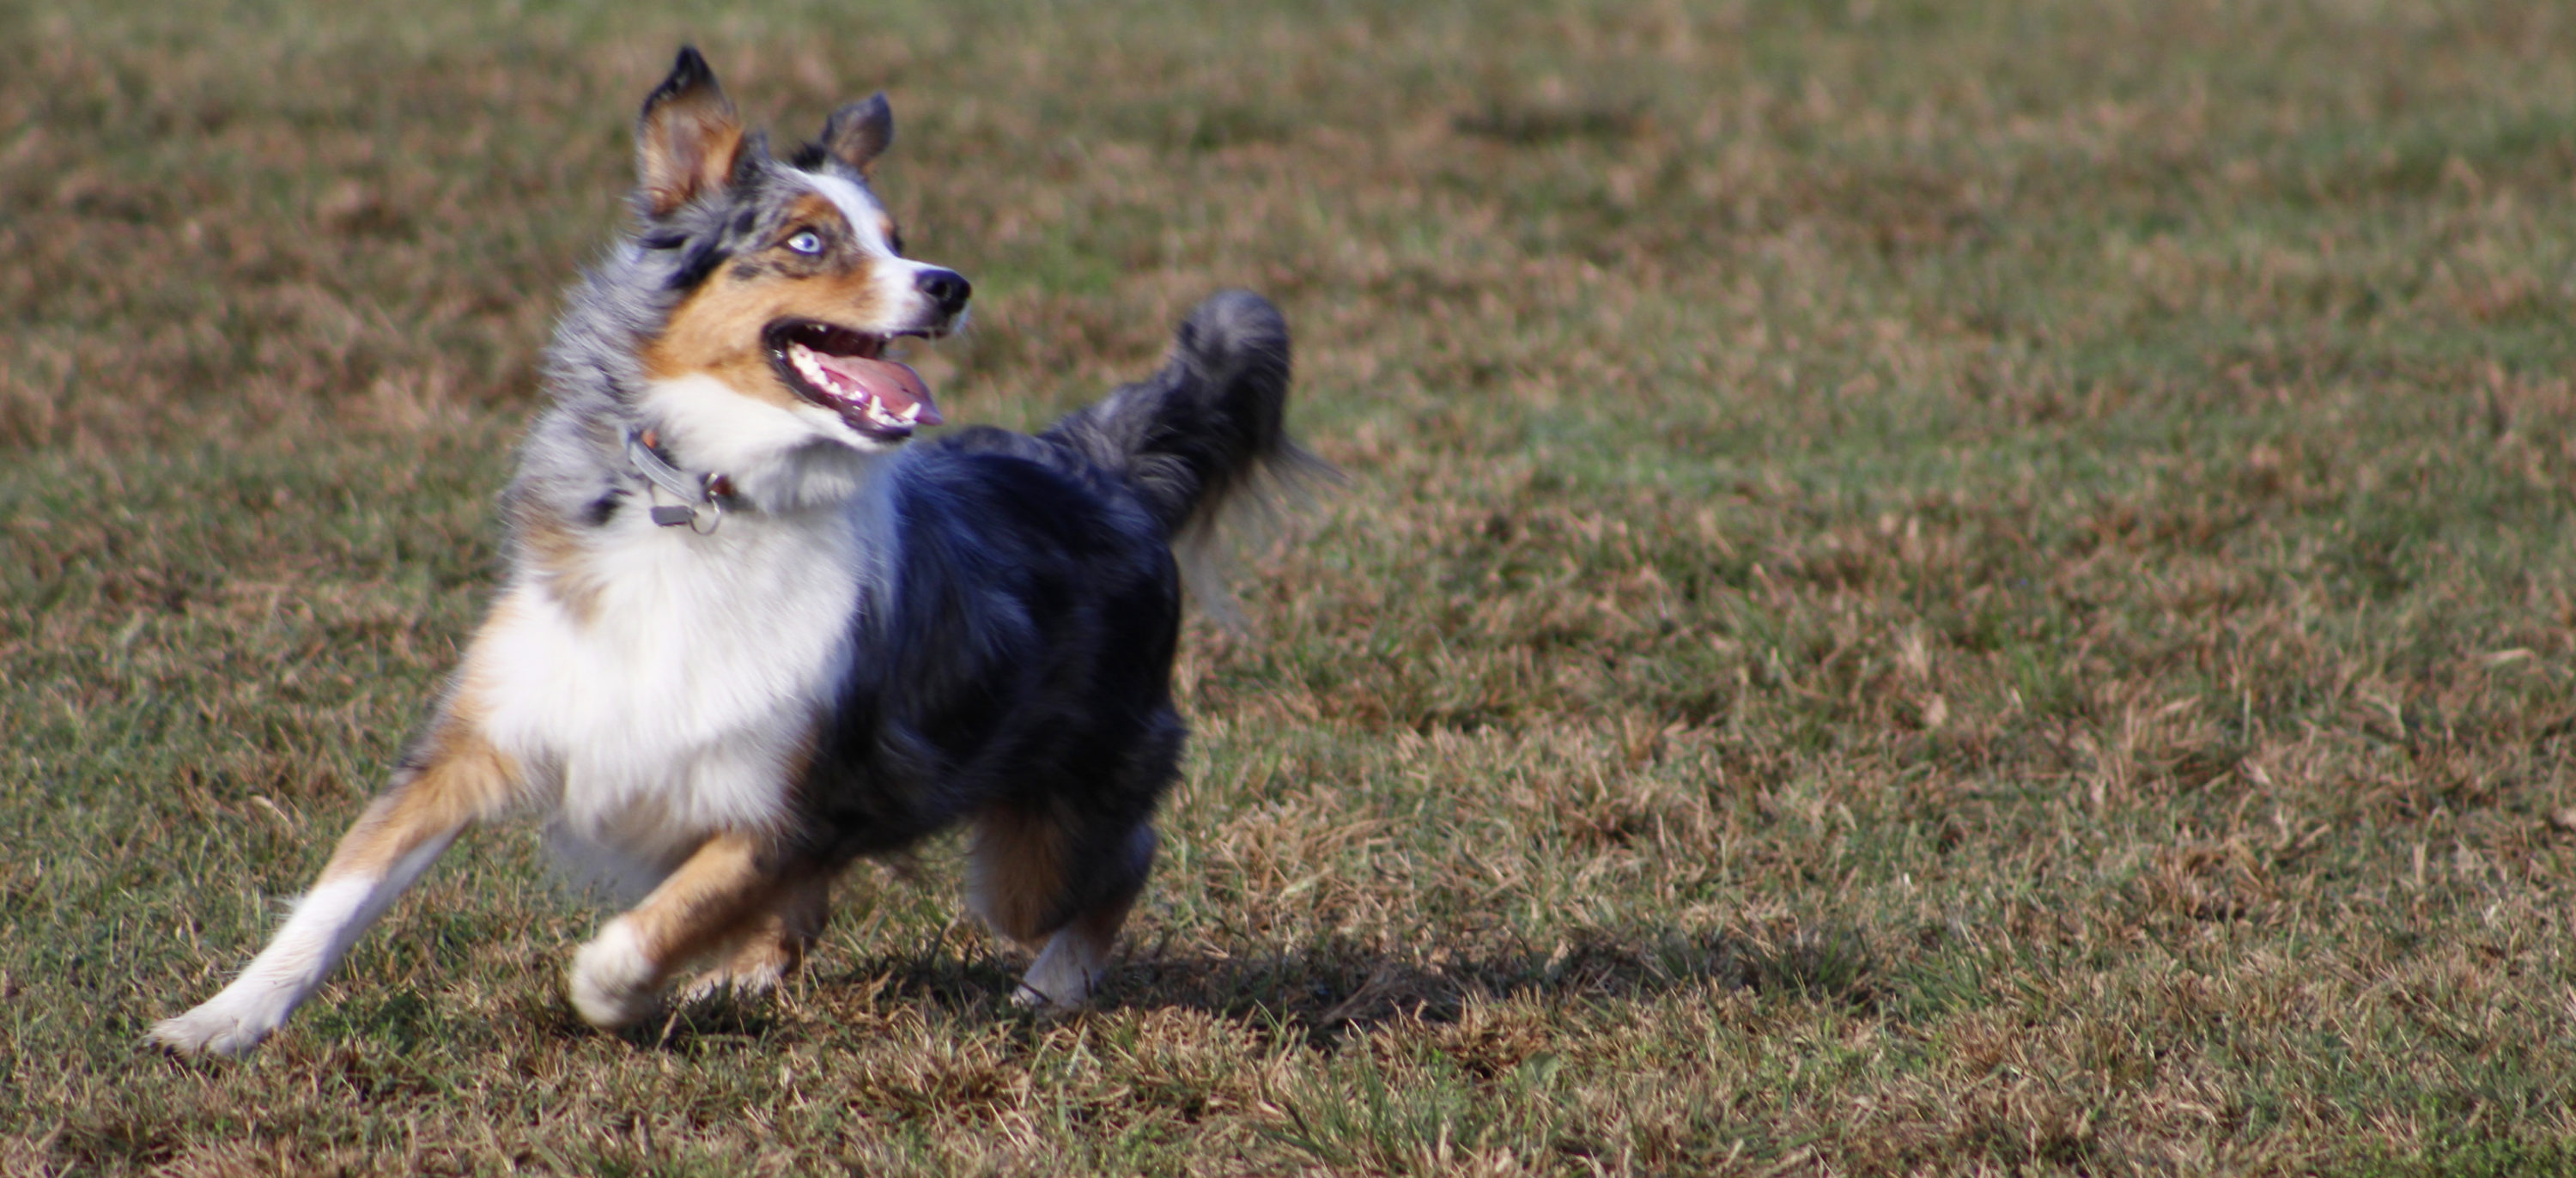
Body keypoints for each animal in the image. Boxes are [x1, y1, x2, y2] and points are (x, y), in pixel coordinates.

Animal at [155, 48, 1309, 1056]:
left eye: (898, 236)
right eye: (808, 242)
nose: (950, 284)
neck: (709, 500)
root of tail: (1098, 461)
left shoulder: (791, 796)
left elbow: (642, 932)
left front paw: (622, 992)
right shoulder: (482, 732)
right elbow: (340, 891)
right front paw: (220, 1022)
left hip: (1039, 832)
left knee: (1119, 861)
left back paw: (1051, 983)